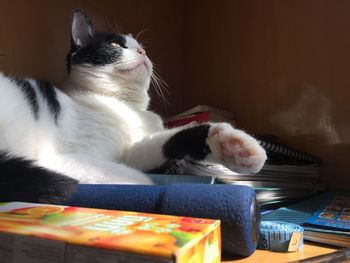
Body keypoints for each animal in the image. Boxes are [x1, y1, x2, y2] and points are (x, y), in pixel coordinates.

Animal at [0, 10, 266, 204]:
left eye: (141, 46)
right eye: (116, 45)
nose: (142, 51)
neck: (124, 106)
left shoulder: (132, 151)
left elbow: (168, 141)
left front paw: (233, 147)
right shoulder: (73, 158)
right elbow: (137, 179)